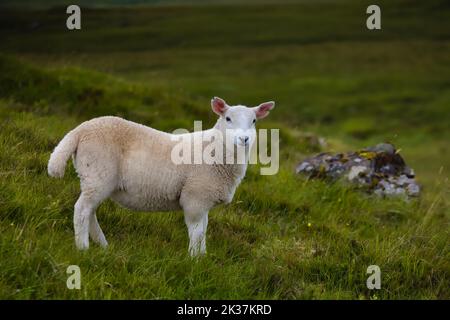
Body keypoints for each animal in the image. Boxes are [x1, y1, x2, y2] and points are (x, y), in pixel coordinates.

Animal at [48, 96, 274, 256]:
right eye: (228, 118)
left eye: (254, 121)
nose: (244, 139)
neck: (216, 150)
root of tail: (80, 130)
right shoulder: (195, 198)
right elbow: (197, 232)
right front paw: (194, 260)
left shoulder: (204, 200)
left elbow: (204, 230)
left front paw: (203, 256)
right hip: (98, 174)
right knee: (82, 210)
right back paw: (83, 248)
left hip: (94, 179)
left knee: (90, 211)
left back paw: (102, 245)